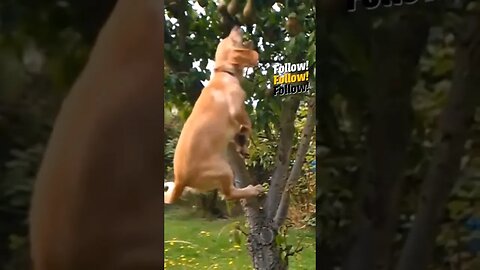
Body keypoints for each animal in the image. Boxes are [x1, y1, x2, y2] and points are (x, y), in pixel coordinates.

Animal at [164, 26, 262, 204]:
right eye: (233, 39)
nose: (236, 26)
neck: (225, 73)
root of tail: (181, 181)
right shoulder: (236, 108)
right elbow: (247, 122)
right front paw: (244, 133)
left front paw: (241, 143)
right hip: (224, 170)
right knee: (229, 194)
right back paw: (252, 190)